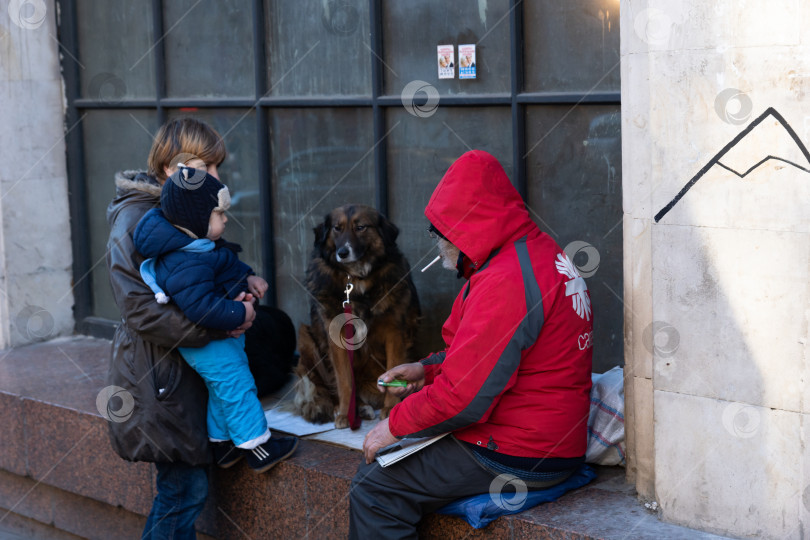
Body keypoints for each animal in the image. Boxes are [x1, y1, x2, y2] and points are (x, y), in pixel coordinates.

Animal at [294, 205, 420, 428]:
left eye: (360, 227)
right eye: (337, 228)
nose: (342, 253)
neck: (355, 279)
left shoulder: (394, 332)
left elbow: (393, 368)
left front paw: (390, 407)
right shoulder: (337, 338)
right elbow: (345, 380)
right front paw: (346, 413)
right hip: (306, 337)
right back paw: (351, 408)